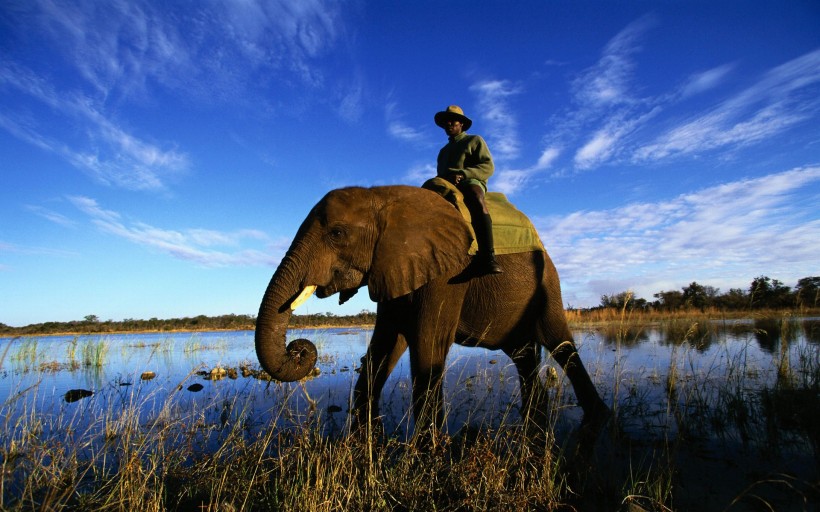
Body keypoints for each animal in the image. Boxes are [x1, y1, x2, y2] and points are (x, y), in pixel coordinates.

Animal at [256, 184, 608, 440]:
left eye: (337, 234)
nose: (298, 349)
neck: (382, 196)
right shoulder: (395, 267)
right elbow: (384, 346)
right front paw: (366, 431)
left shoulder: (449, 274)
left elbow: (427, 344)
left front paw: (428, 446)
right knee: (523, 353)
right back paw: (535, 416)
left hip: (548, 284)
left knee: (560, 344)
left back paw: (597, 416)